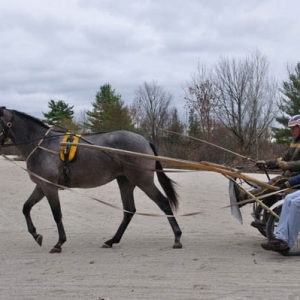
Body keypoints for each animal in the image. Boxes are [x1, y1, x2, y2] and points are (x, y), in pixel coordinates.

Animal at [0, 108, 182, 253]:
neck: (43, 144)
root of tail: (144, 140)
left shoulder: (49, 187)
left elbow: (57, 214)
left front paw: (59, 243)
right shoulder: (41, 186)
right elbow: (26, 208)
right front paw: (36, 235)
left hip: (142, 180)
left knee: (163, 203)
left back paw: (177, 237)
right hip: (125, 181)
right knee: (129, 210)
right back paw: (112, 240)